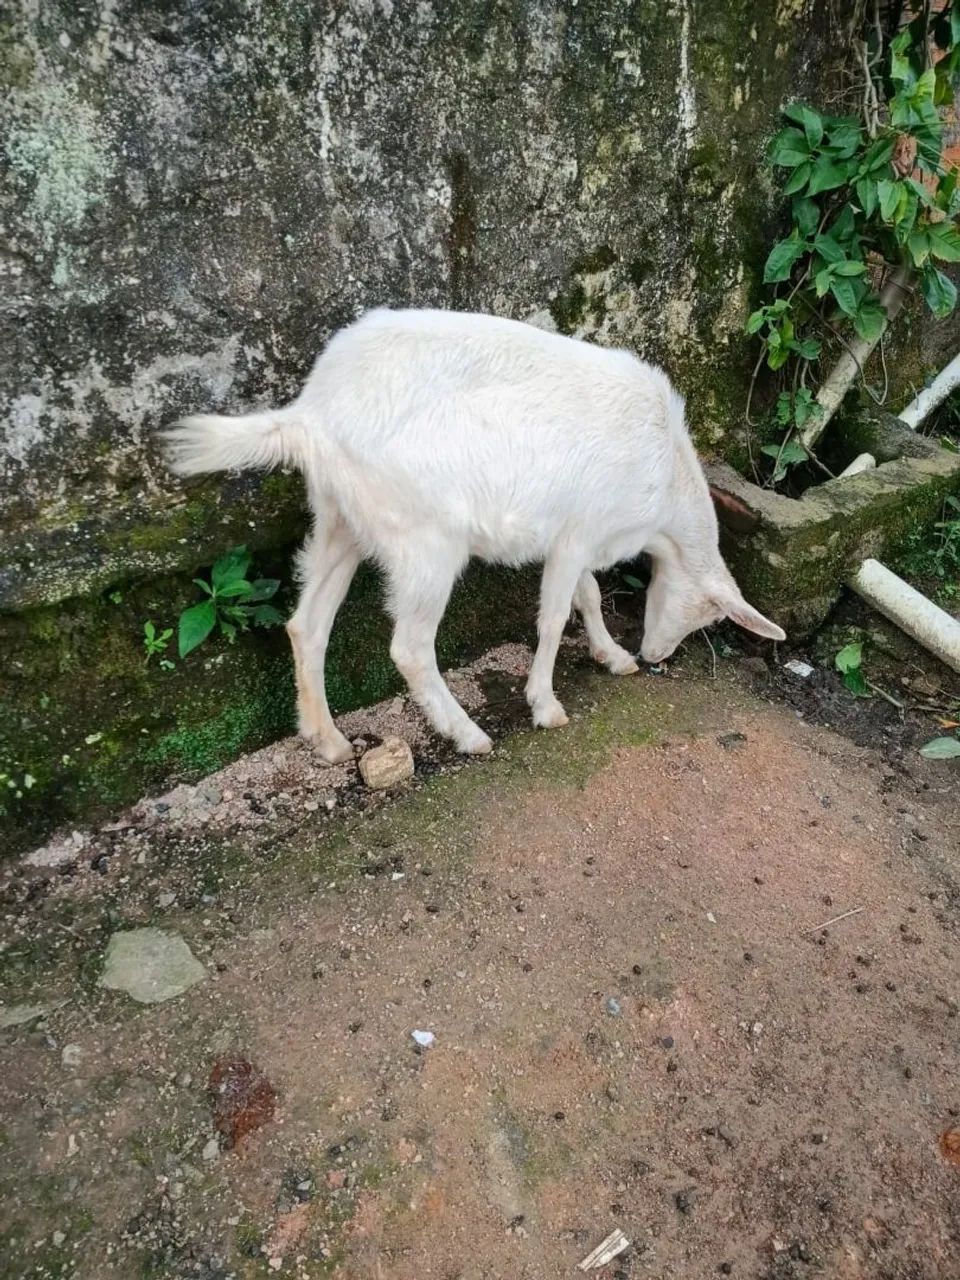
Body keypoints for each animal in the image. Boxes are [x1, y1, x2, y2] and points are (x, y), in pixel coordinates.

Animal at [163, 308, 784, 761]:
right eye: (705, 613)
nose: (656, 655)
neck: (665, 477)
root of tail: (312, 415)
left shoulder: (575, 536)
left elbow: (585, 595)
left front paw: (612, 656)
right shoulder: (578, 532)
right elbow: (555, 615)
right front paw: (545, 704)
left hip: (341, 521)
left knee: (306, 625)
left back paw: (329, 740)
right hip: (425, 542)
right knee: (409, 647)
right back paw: (467, 734)